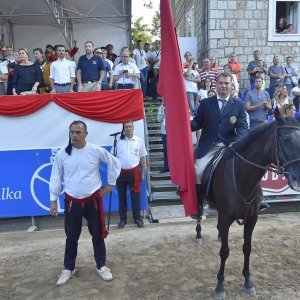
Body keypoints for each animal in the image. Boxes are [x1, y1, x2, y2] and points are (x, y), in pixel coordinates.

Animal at [197, 107, 300, 298]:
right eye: (286, 139)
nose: (298, 178)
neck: (242, 176)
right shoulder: (225, 218)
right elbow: (224, 251)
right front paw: (219, 286)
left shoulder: (252, 218)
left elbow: (247, 248)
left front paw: (247, 282)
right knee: (199, 215)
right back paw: (199, 232)